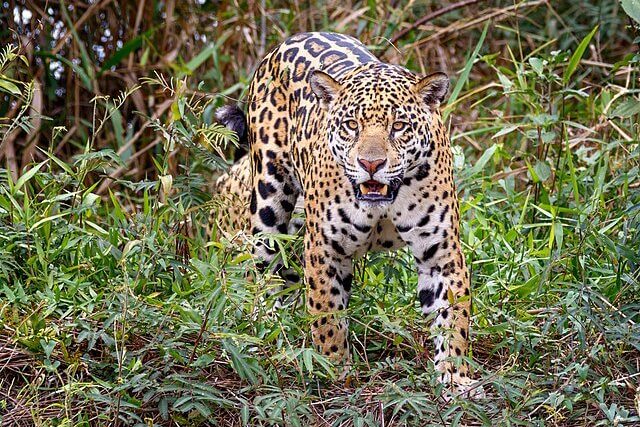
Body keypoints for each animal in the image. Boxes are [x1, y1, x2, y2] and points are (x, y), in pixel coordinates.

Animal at [213, 32, 481, 396]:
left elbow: (453, 318)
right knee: (263, 272)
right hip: (269, 200)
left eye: (399, 126)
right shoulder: (324, 248)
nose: (371, 163)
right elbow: (326, 314)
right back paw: (269, 330)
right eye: (352, 125)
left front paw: (454, 376)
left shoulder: (441, 252)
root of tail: (291, 39)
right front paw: (336, 369)